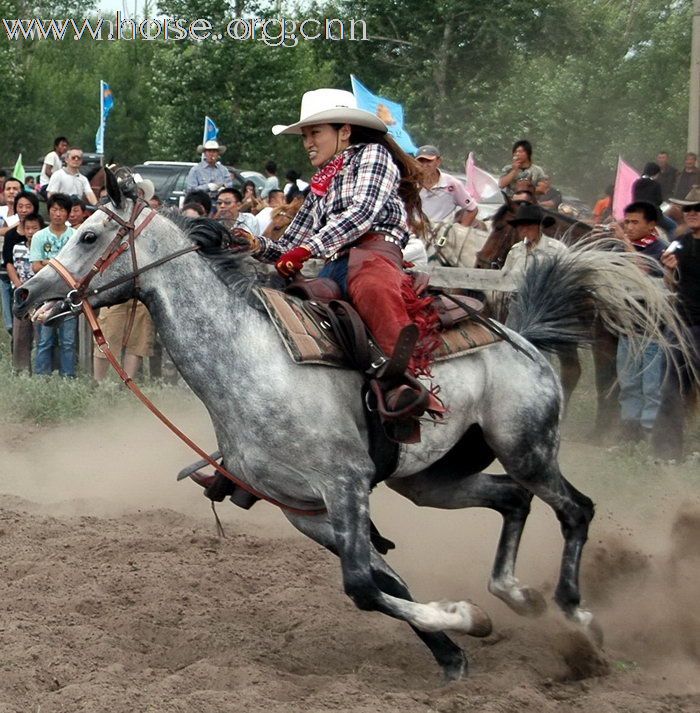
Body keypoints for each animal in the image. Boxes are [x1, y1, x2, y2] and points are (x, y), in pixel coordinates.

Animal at [13, 170, 688, 680]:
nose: (25, 293)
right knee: (511, 500)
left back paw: (578, 619)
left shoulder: (344, 485)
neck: (251, 362)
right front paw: (454, 651)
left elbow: (363, 584)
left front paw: (465, 621)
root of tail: (522, 334)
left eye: (89, 233)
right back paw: (518, 595)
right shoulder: (306, 510)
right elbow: (386, 583)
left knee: (574, 509)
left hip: (528, 445)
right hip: (431, 480)